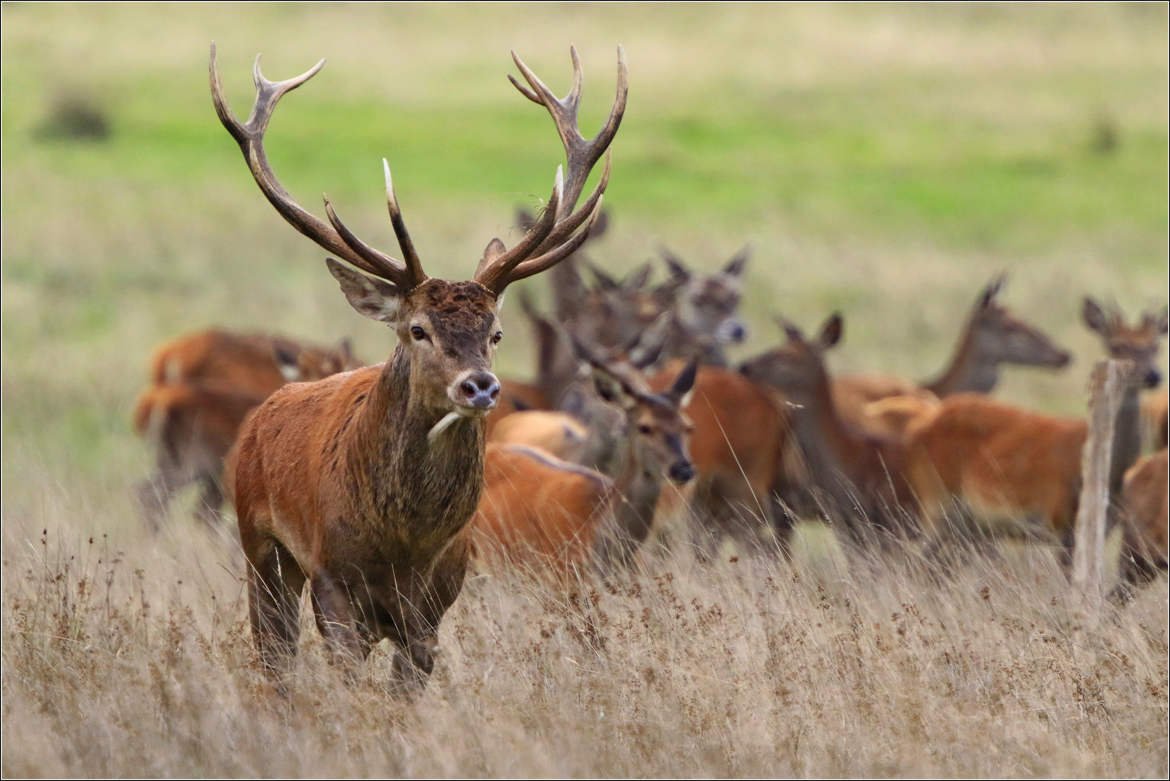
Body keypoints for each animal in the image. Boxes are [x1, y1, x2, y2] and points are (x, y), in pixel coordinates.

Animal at [214, 44, 627, 687]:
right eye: (417, 330)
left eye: (495, 333)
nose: (480, 386)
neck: (405, 543)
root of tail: (265, 411)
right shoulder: (334, 579)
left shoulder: (436, 601)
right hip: (258, 543)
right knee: (274, 655)